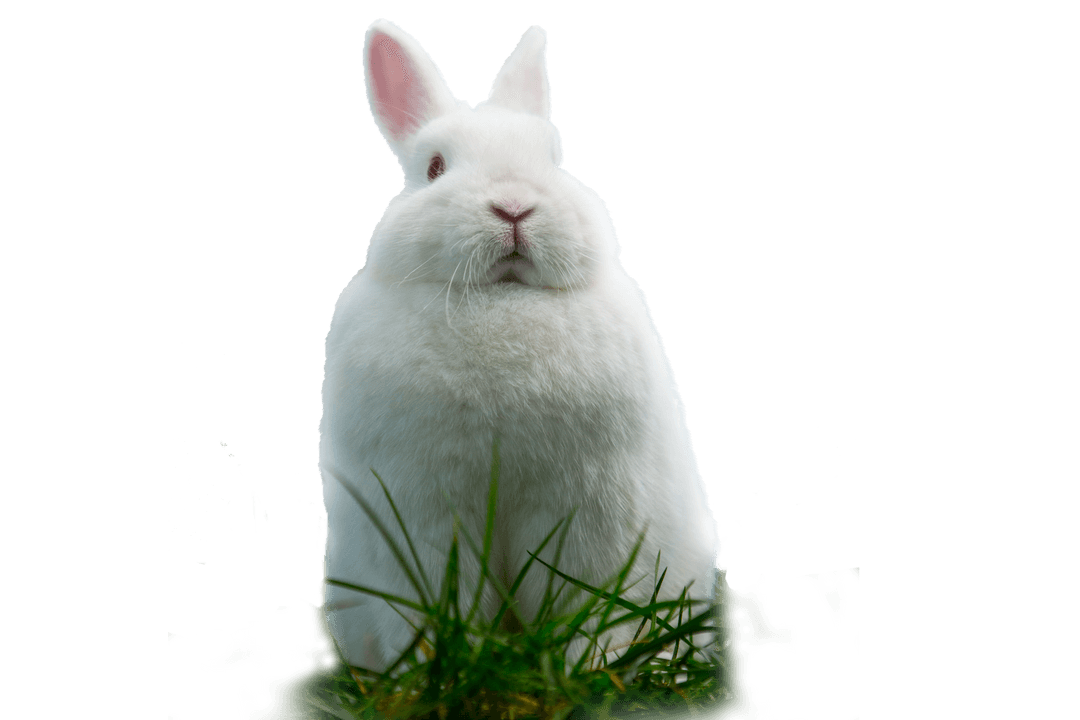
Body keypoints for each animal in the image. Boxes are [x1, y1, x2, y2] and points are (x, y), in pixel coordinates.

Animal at [318, 18, 722, 673]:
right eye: (434, 167)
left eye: (553, 159)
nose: (513, 207)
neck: (502, 298)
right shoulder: (422, 512)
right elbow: (433, 604)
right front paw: (437, 668)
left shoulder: (592, 509)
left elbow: (591, 602)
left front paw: (588, 668)